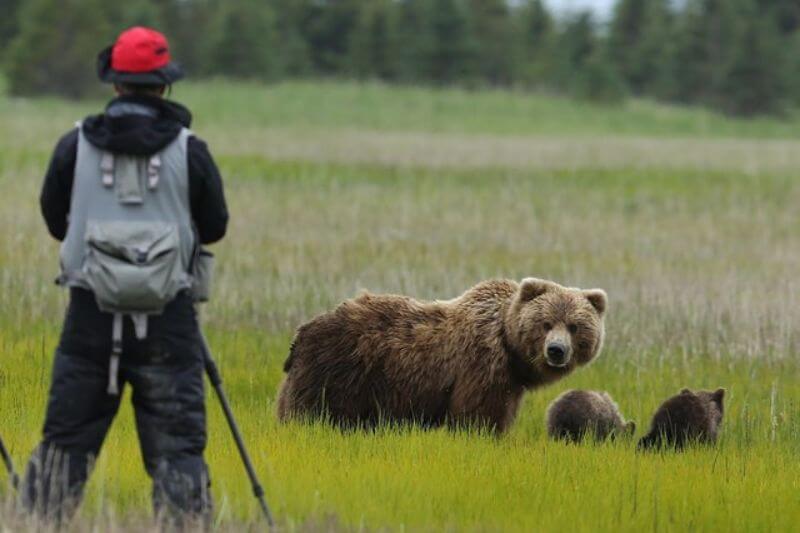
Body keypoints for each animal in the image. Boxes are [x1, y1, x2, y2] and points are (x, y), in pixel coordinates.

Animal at [276, 278, 608, 432]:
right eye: (546, 323)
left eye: (575, 326)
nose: (556, 350)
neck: (508, 343)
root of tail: (301, 332)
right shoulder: (481, 365)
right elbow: (478, 416)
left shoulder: (510, 382)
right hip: (335, 372)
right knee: (306, 413)